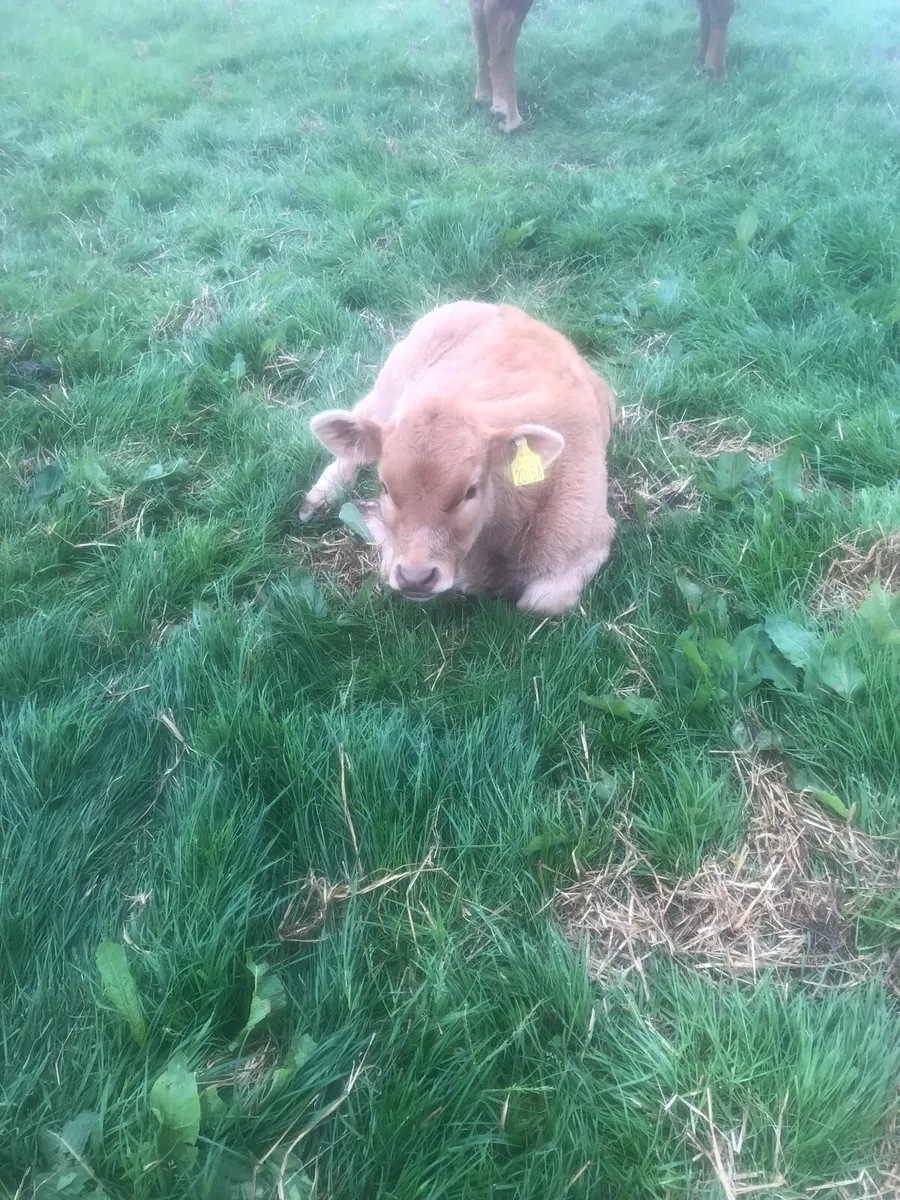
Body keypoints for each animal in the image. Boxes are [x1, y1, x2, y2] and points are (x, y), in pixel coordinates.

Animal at [299, 301, 616, 617]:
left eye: (470, 491)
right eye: (384, 487)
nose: (415, 577)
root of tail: (501, 307)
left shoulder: (591, 540)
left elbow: (540, 603)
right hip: (392, 379)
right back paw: (320, 496)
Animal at [468, 0, 736, 134]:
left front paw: (703, 58)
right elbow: (722, 9)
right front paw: (716, 72)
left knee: (478, 12)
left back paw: (484, 93)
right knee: (500, 16)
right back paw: (508, 114)